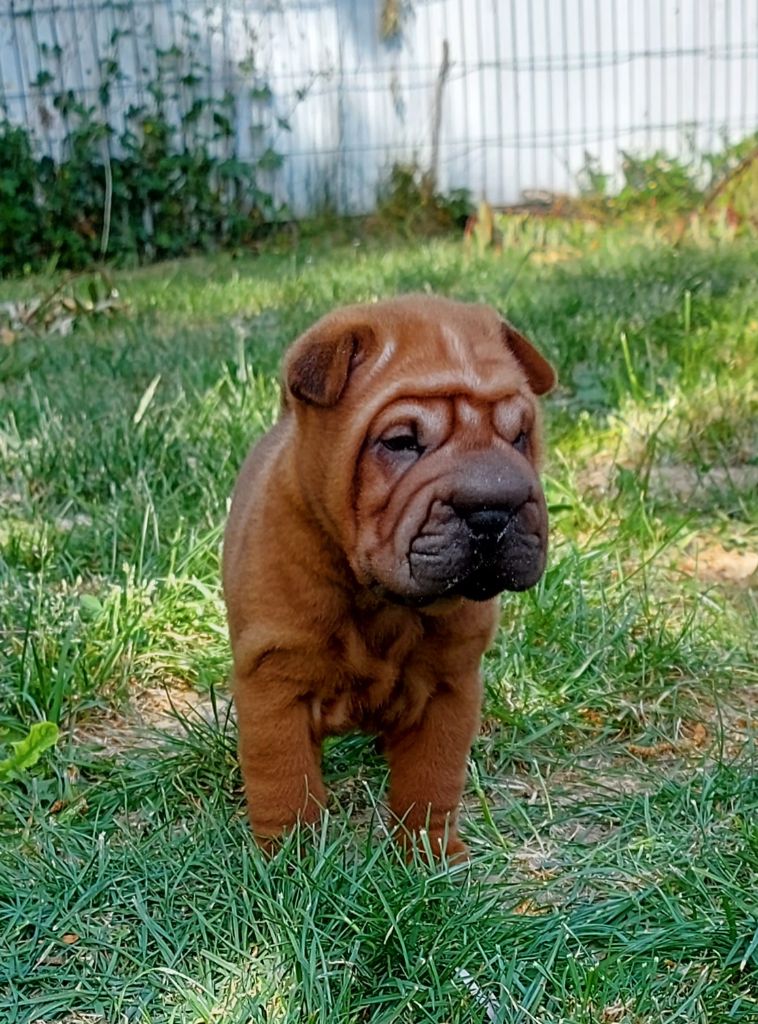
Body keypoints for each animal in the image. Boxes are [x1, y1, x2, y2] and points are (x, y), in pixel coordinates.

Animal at [222, 292, 553, 860]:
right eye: (400, 443)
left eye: (519, 436)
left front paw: (429, 855)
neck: (380, 598)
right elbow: (284, 779)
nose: (493, 509)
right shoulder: (274, 678)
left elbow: (432, 777)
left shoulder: (451, 685)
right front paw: (292, 859)